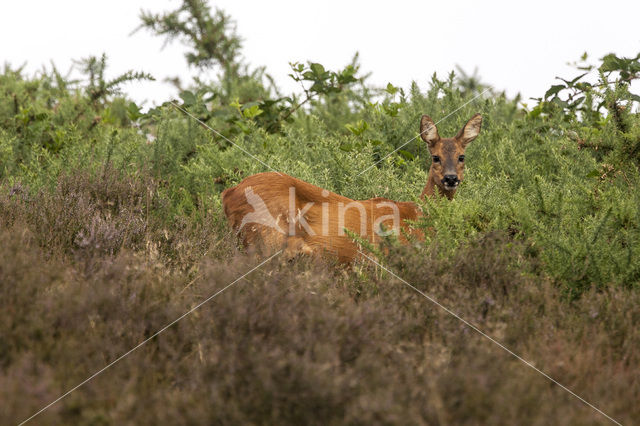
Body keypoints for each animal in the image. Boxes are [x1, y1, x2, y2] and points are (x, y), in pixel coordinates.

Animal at [222, 113, 482, 262]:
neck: (417, 216)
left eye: (461, 156)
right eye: (436, 157)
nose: (451, 179)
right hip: (266, 239)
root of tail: (228, 194)